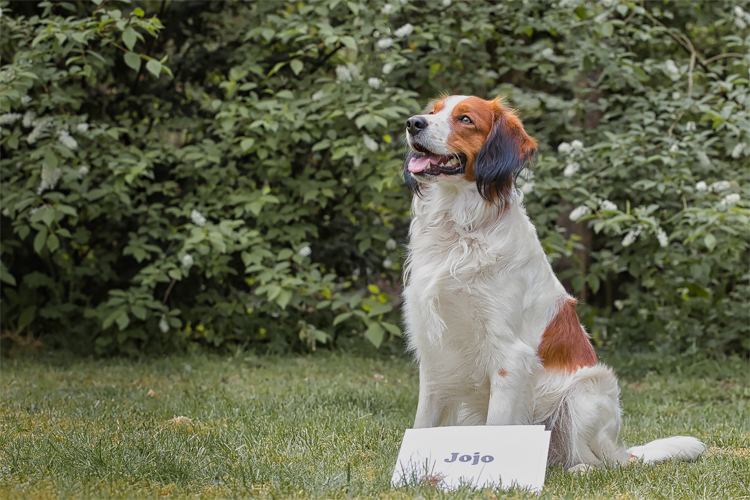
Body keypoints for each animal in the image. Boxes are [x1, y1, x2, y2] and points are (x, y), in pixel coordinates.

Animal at [402, 94, 708, 472]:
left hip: (586, 392)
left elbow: (496, 424)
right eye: (432, 111)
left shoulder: (508, 355)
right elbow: (423, 422)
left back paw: (579, 469)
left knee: (597, 461)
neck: (459, 232)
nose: (413, 123)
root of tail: (623, 451)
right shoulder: (435, 352)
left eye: (465, 119)